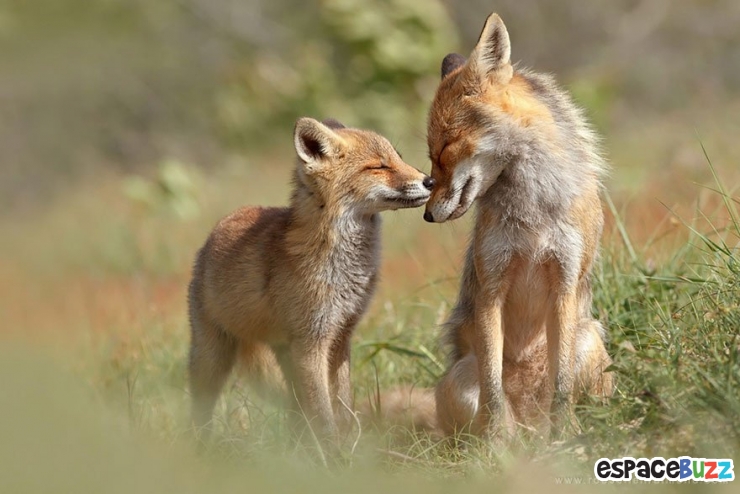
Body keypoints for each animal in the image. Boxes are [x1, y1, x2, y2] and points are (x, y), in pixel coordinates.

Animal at [187, 117, 434, 444]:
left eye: (399, 158)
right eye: (378, 166)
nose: (430, 181)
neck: (343, 268)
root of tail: (220, 225)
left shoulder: (340, 335)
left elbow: (342, 404)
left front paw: (348, 444)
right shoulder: (311, 342)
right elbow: (323, 412)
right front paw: (333, 451)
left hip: (284, 354)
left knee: (295, 409)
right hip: (212, 356)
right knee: (200, 407)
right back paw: (200, 447)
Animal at [369, 13, 614, 440]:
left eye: (444, 149)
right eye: (430, 156)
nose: (428, 216)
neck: (533, 213)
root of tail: (531, 424)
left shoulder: (565, 283)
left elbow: (562, 385)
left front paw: (566, 439)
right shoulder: (491, 286)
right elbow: (493, 388)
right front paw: (497, 444)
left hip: (590, 342)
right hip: (459, 379)